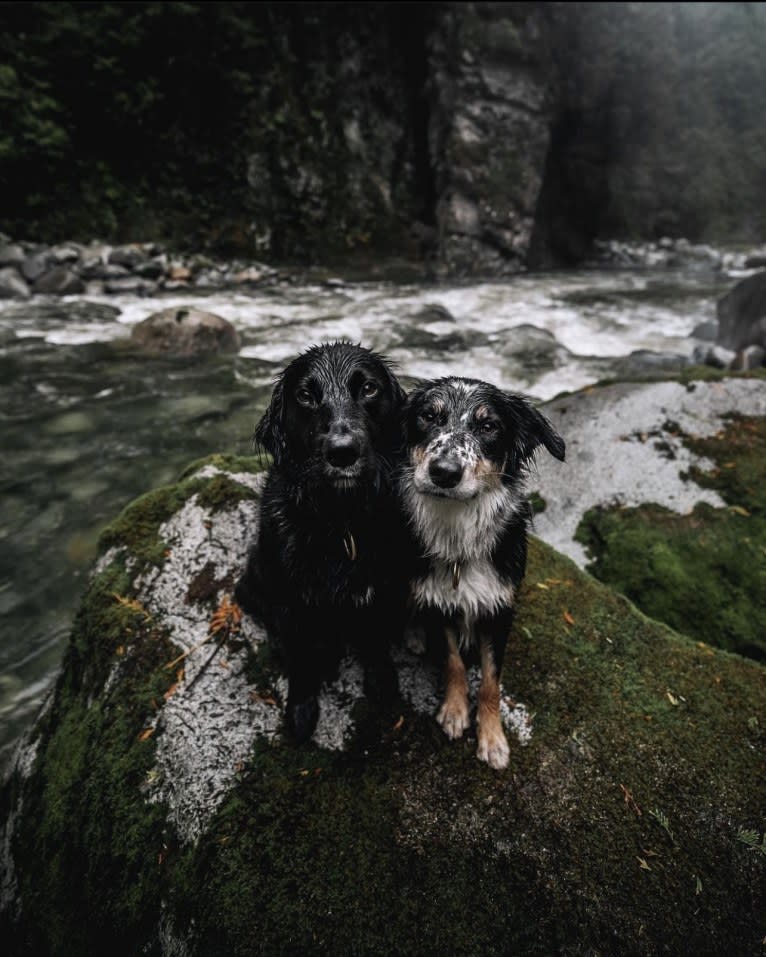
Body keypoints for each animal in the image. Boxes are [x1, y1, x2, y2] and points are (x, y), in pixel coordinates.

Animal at [237, 340, 408, 744]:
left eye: (368, 388)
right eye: (304, 395)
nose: (342, 452)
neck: (341, 521)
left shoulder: (378, 589)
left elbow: (375, 639)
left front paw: (382, 681)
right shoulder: (290, 602)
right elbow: (300, 660)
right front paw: (301, 710)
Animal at [400, 374, 568, 768]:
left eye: (488, 426)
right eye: (429, 416)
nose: (444, 473)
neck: (459, 534)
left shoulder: (498, 609)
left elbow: (491, 680)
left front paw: (492, 738)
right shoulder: (441, 602)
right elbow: (453, 662)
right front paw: (455, 710)